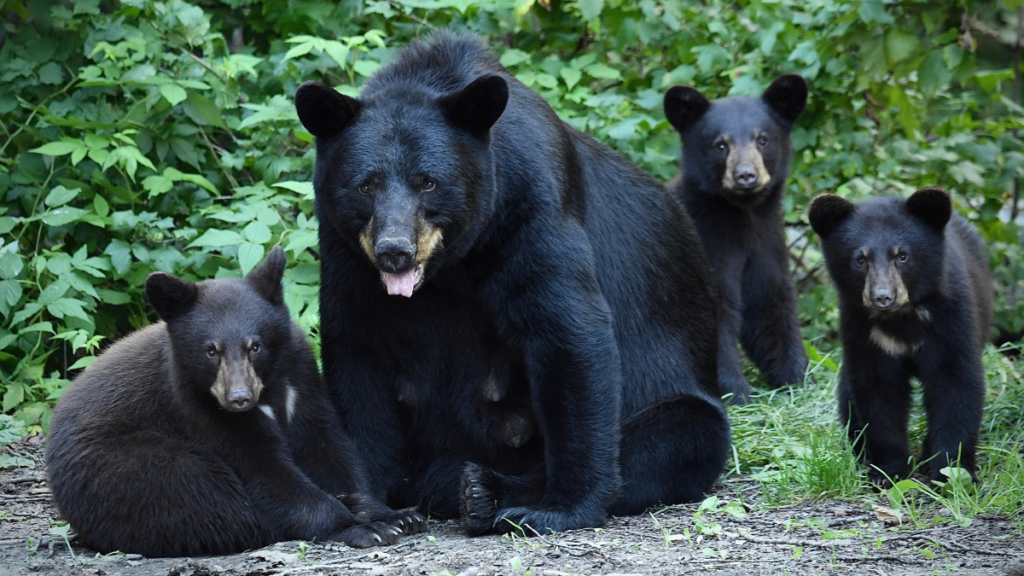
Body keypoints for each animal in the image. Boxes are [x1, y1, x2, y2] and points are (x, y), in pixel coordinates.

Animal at [45, 247, 426, 557]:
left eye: (254, 345)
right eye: (210, 350)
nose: (239, 399)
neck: (267, 390)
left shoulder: (301, 380)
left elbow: (328, 447)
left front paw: (392, 513)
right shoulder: (196, 407)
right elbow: (264, 473)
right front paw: (365, 526)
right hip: (123, 468)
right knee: (205, 498)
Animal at [294, 33, 730, 535]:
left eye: (428, 182)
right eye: (365, 185)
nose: (394, 250)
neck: (451, 263)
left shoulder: (530, 204)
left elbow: (567, 333)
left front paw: (562, 507)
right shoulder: (345, 248)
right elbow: (358, 353)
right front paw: (376, 514)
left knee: (679, 436)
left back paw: (485, 492)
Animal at [663, 74, 810, 403]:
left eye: (762, 139)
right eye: (720, 145)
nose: (746, 175)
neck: (743, 216)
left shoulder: (767, 243)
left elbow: (769, 304)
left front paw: (796, 378)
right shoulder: (707, 245)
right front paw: (737, 393)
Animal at [808, 187, 993, 485]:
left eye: (902, 256)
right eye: (860, 259)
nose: (883, 297)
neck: (902, 317)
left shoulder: (951, 320)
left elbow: (956, 384)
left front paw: (951, 473)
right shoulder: (862, 329)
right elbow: (878, 392)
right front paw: (889, 472)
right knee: (848, 397)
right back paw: (860, 454)